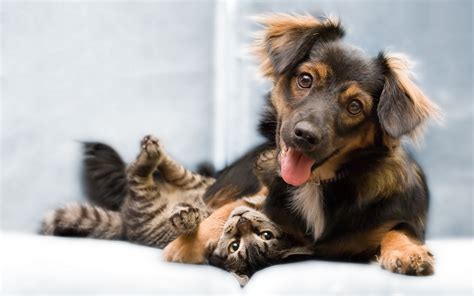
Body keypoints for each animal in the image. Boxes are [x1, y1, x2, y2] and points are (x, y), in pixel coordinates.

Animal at [201, 14, 440, 276]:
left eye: (354, 106)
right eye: (305, 79)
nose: (305, 135)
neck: (315, 183)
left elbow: (399, 230)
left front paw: (408, 252)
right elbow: (230, 212)